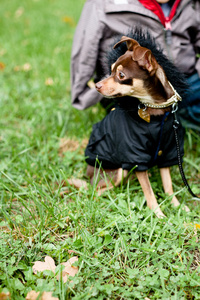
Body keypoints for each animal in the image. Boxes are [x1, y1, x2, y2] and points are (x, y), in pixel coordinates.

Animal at [83, 31, 190, 218]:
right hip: (117, 172)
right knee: (97, 190)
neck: (156, 112)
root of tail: (89, 173)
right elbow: (149, 192)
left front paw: (176, 206)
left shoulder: (167, 150)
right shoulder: (136, 157)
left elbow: (168, 185)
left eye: (121, 75)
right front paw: (158, 215)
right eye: (110, 70)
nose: (96, 85)